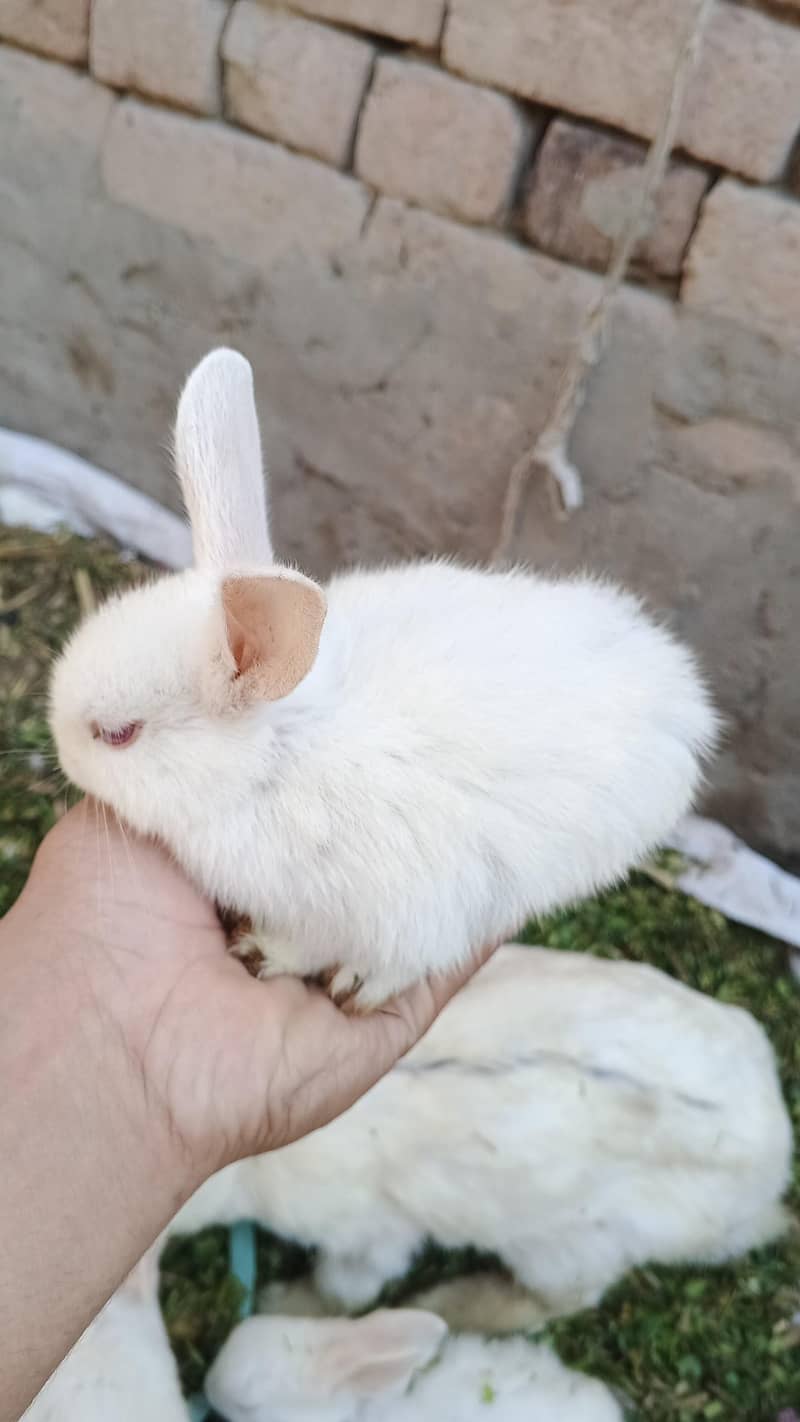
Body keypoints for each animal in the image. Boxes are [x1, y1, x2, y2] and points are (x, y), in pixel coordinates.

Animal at [49, 348, 718, 1008]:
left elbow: (324, 948)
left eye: (118, 734)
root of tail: (680, 691)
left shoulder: (369, 913)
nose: (58, 747)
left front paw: (268, 955)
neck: (274, 759)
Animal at [173, 944, 792, 1322]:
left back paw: (448, 1304)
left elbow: (347, 1285)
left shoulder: (367, 1234)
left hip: (569, 1246)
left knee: (557, 1300)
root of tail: (776, 1151)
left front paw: (281, 1303)